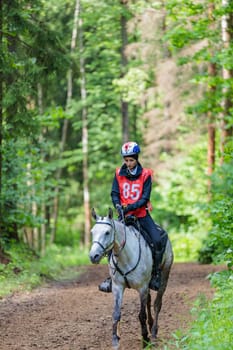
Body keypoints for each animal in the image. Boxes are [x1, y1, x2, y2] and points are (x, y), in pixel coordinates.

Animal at [89, 209, 173, 348]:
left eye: (107, 232)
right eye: (92, 232)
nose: (93, 256)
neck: (126, 256)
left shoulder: (142, 288)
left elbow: (142, 315)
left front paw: (145, 340)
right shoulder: (118, 287)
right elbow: (116, 313)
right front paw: (115, 340)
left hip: (164, 276)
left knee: (157, 304)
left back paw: (154, 332)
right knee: (149, 301)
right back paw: (151, 325)